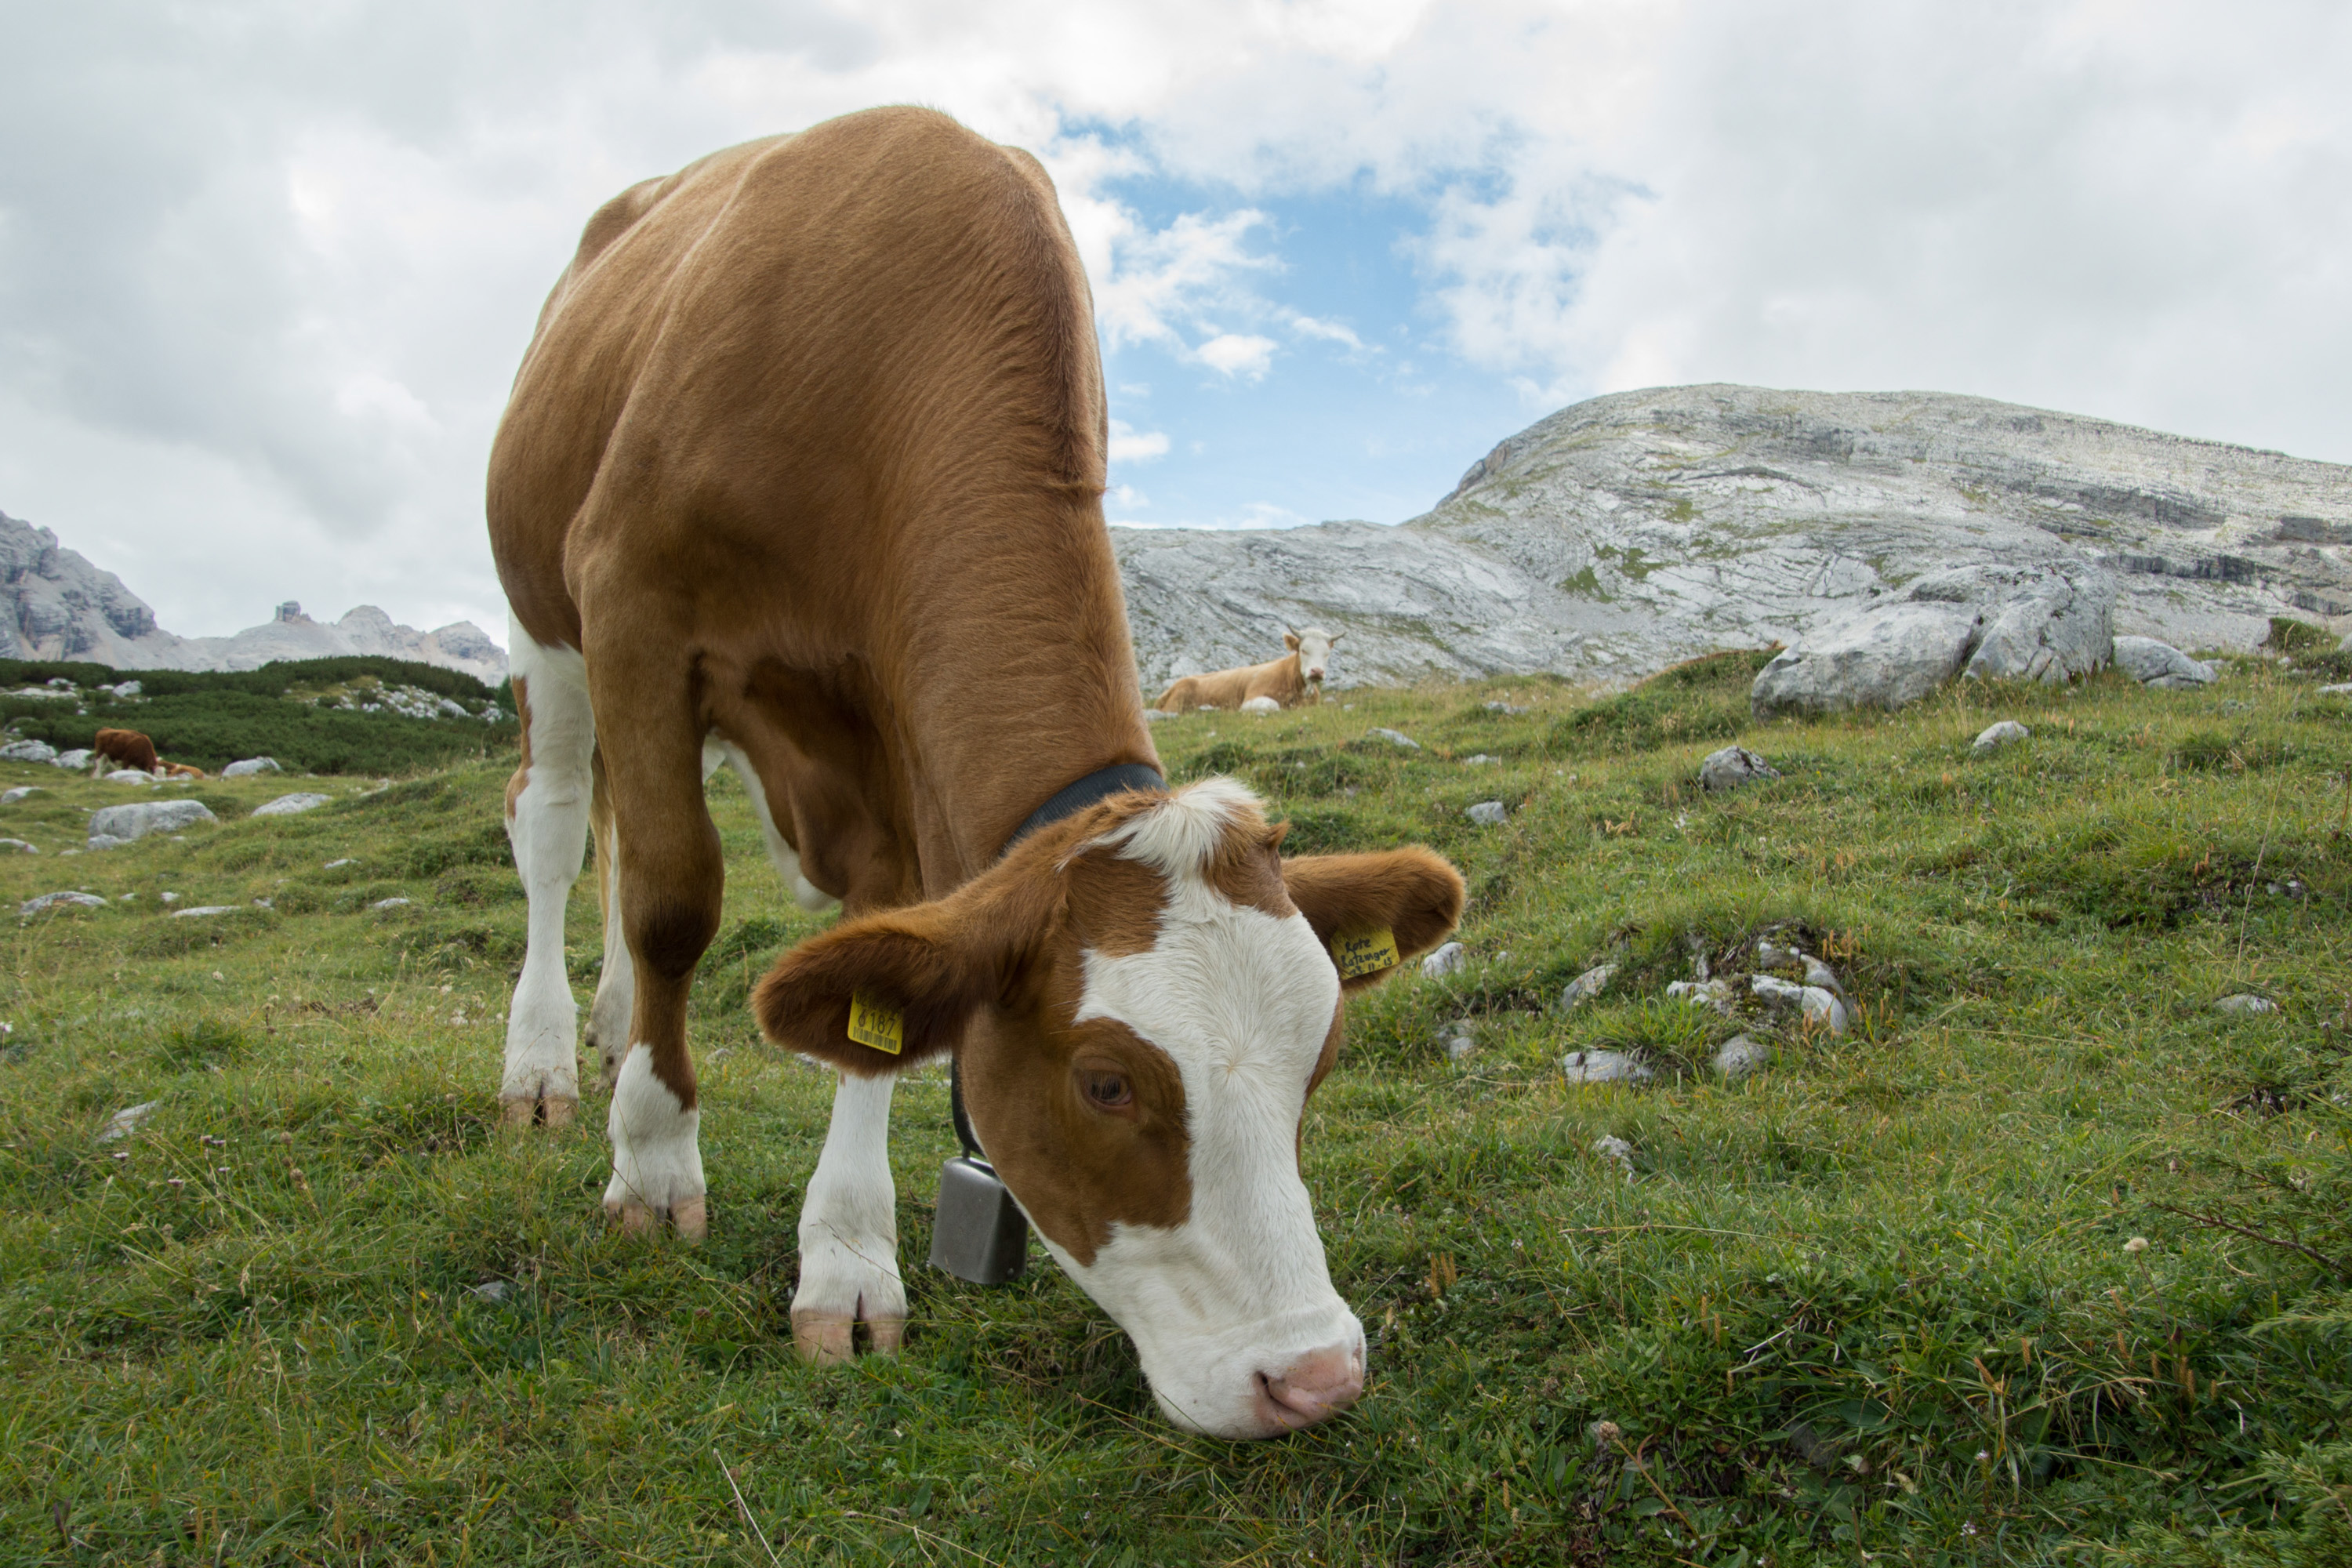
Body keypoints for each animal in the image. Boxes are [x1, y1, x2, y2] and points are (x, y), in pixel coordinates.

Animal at [1157, 630, 1345, 719]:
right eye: (1303, 650)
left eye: (1327, 653)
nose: (1317, 671)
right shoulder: (1251, 698)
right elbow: (1274, 705)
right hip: (1175, 705)